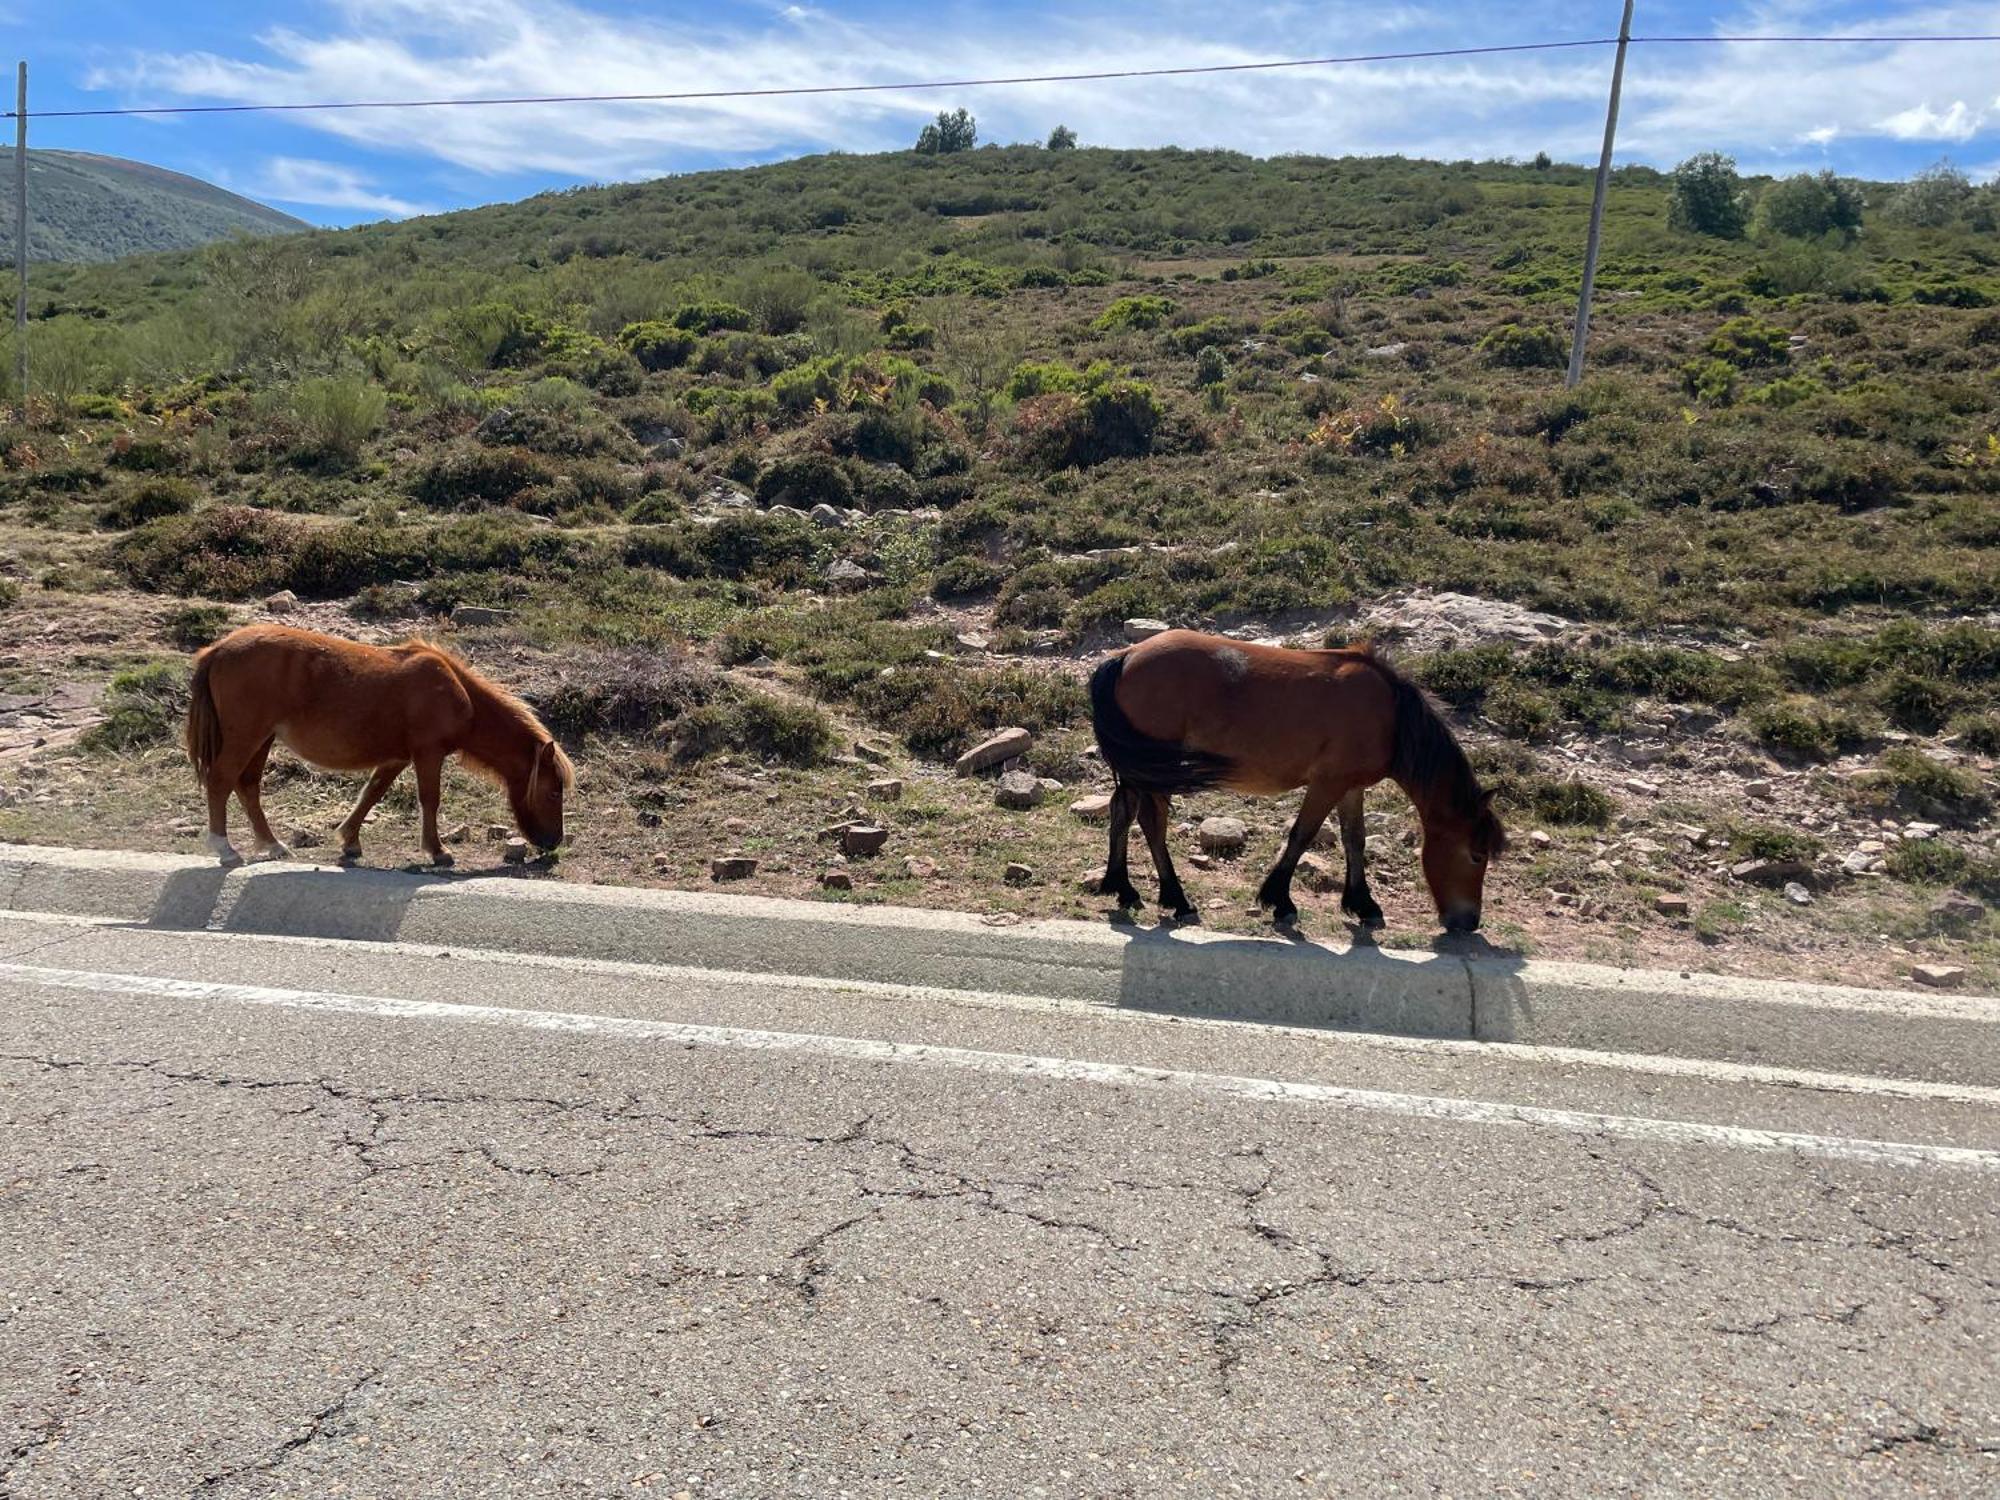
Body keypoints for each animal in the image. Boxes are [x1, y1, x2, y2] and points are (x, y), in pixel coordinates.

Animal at [186, 624, 572, 868]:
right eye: (554, 792)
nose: (553, 843)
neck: (456, 693)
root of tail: (218, 650)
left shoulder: (396, 758)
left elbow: (371, 794)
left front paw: (350, 842)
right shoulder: (428, 754)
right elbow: (429, 800)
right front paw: (437, 851)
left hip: (262, 739)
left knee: (248, 787)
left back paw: (272, 845)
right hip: (246, 737)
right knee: (221, 781)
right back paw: (225, 849)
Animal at [1096, 628, 1504, 936]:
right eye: (1477, 855)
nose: (1469, 922)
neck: (1391, 716)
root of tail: (1127, 655)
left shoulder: (1350, 787)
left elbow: (1355, 840)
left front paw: (1363, 905)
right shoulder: (1327, 783)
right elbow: (1302, 835)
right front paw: (1279, 900)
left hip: (1141, 769)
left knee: (1123, 813)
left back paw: (1124, 889)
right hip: (1151, 770)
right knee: (1151, 823)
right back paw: (1176, 899)